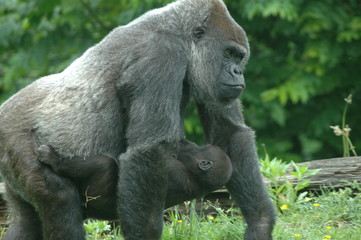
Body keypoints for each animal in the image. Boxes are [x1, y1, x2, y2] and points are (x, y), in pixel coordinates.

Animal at [36, 140, 232, 220]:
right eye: (202, 146)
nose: (188, 143)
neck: (197, 179)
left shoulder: (172, 168)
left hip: (95, 198)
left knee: (104, 164)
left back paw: (56, 160)